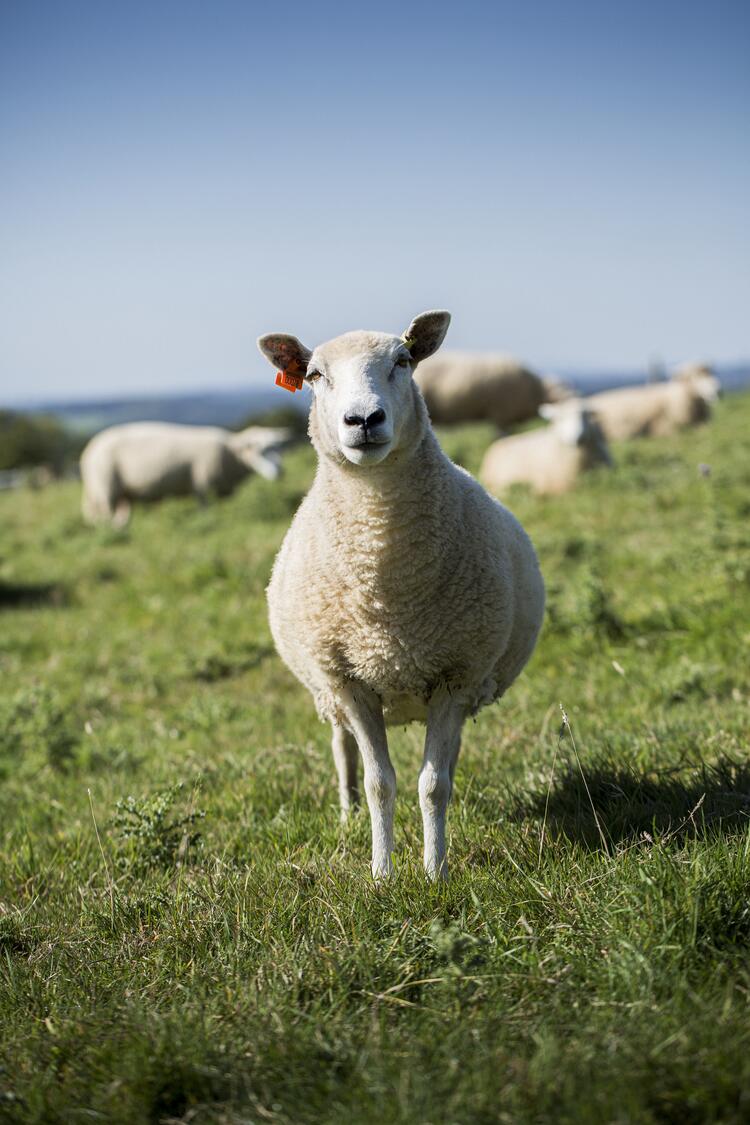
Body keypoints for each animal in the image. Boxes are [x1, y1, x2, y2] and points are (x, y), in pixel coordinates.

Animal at [80, 421, 291, 526]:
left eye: (280, 448)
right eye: (259, 451)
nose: (280, 471)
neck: (231, 453)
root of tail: (89, 450)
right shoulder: (203, 486)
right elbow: (206, 511)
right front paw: (208, 521)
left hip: (123, 494)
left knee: (120, 517)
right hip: (106, 488)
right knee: (106, 516)